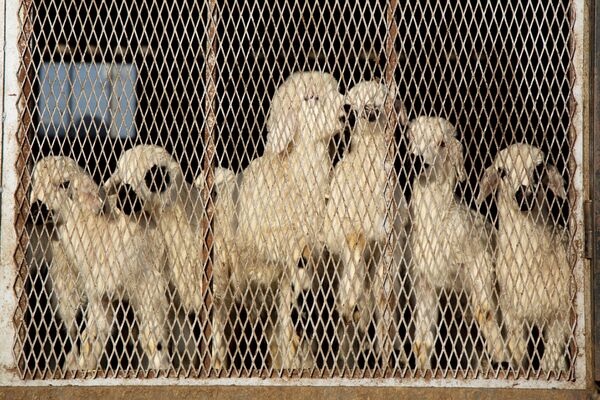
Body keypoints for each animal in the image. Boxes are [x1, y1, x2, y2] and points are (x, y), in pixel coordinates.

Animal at [30, 156, 171, 368]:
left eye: (64, 184)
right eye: (35, 182)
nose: (36, 207)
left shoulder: (149, 286)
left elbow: (153, 340)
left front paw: (162, 369)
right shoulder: (99, 295)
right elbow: (93, 336)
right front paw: (84, 367)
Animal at [322, 79, 410, 360]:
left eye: (384, 99)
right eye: (354, 102)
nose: (370, 110)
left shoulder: (388, 243)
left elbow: (385, 297)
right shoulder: (342, 228)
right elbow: (354, 241)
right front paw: (350, 302)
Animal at [408, 117, 506, 370]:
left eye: (442, 143)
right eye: (411, 137)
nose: (417, 160)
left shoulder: (479, 263)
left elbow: (485, 313)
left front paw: (501, 356)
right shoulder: (425, 282)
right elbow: (422, 341)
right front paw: (422, 369)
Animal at [478, 144, 572, 372]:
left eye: (539, 168)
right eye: (502, 172)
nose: (523, 194)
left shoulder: (560, 312)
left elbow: (551, 358)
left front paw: (550, 369)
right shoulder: (512, 314)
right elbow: (518, 351)